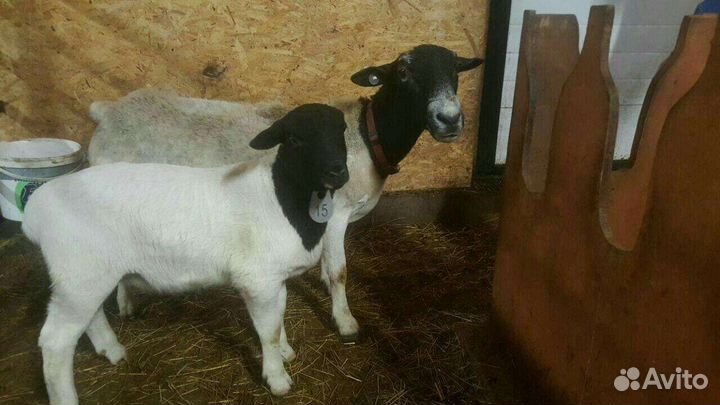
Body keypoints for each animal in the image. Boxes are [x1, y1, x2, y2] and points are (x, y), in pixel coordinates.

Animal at [23, 104, 349, 404]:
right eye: (294, 139)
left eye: (342, 131)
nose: (337, 171)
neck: (281, 195)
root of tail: (37, 207)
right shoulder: (257, 280)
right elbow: (267, 331)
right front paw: (277, 378)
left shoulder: (274, 279)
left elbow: (279, 318)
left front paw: (285, 352)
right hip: (80, 273)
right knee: (55, 341)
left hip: (87, 276)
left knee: (90, 317)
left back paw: (113, 351)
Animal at [88, 44, 484, 341]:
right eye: (403, 72)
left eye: (456, 71)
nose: (449, 119)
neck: (368, 136)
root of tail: (106, 112)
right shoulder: (337, 213)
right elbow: (340, 271)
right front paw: (346, 323)